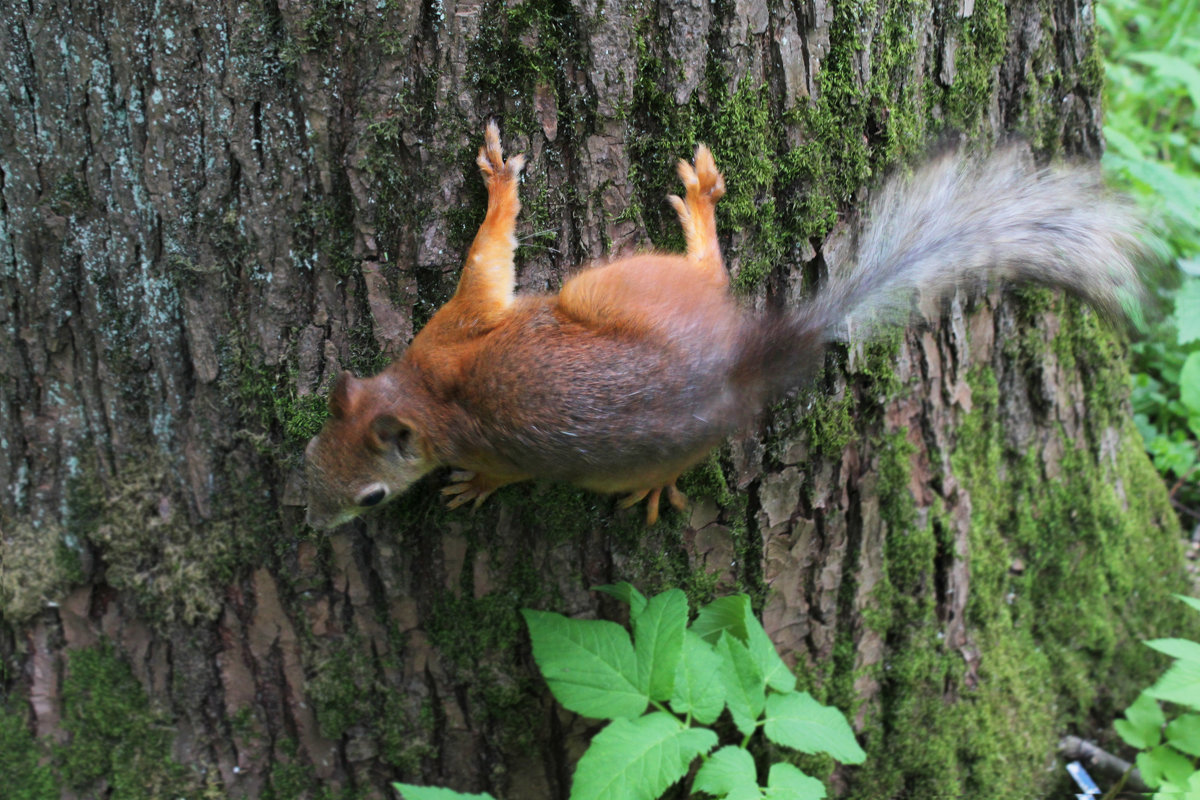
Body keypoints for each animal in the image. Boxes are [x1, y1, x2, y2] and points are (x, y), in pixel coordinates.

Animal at [302, 122, 1142, 527]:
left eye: (372, 498)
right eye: (309, 454)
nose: (314, 528)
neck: (425, 400)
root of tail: (739, 360)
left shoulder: (452, 330)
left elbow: (487, 261)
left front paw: (501, 184)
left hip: (612, 286)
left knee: (707, 271)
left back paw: (701, 209)